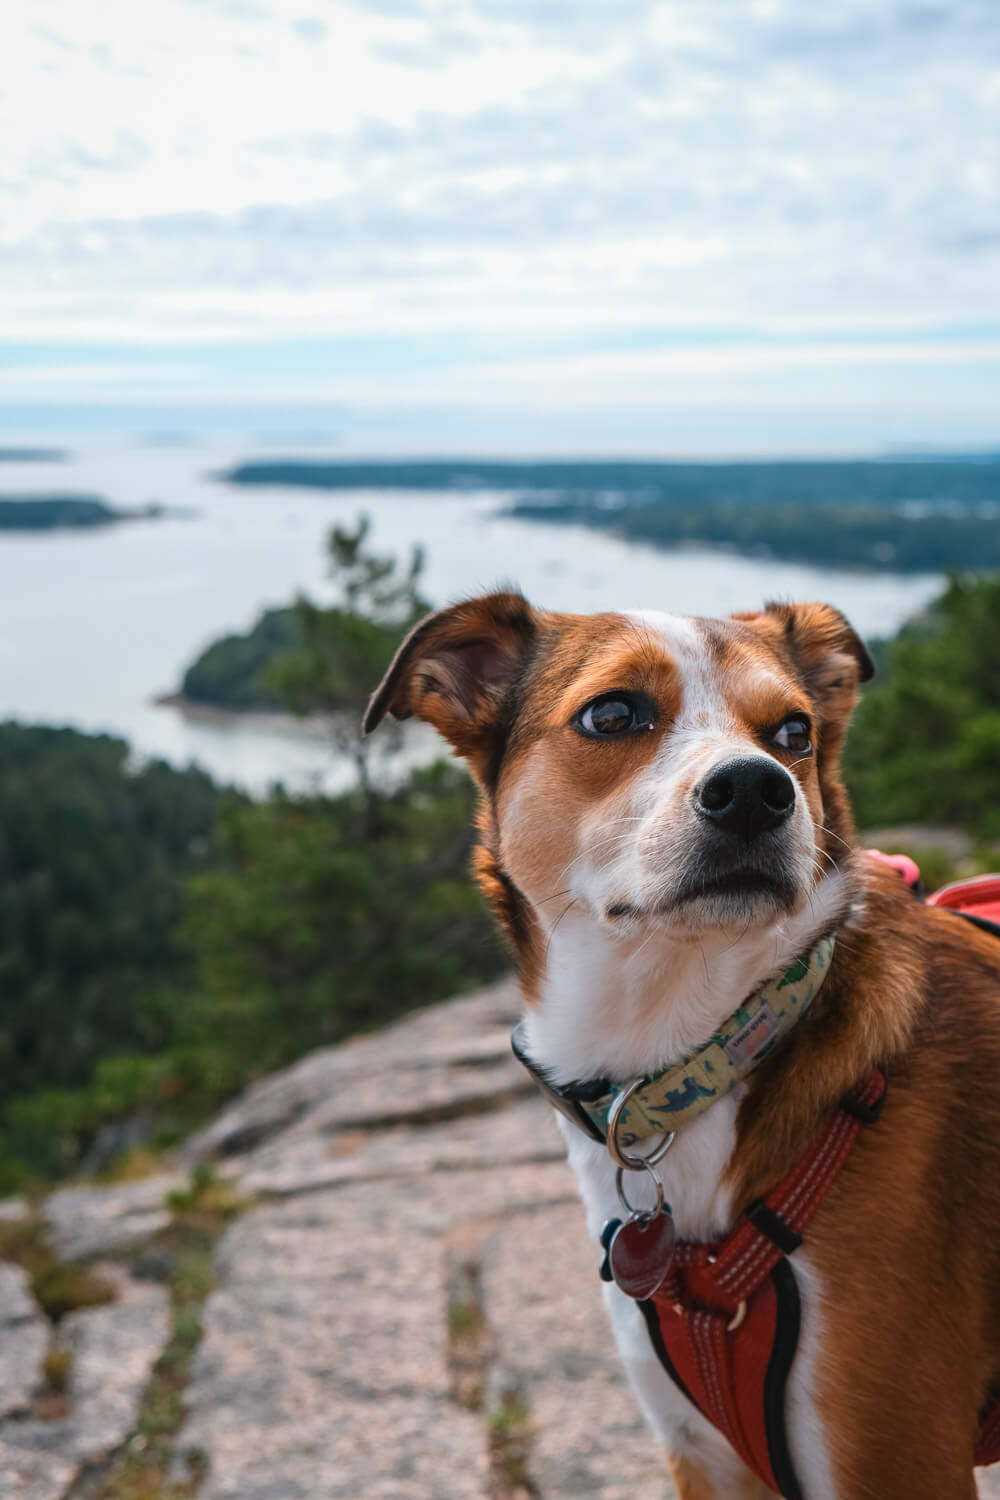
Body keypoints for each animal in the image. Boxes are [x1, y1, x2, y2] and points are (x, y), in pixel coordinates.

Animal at [365, 591, 1000, 1500]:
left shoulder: (893, 1462)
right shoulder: (704, 1456)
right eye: (613, 713)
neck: (690, 1055)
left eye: (795, 732)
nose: (756, 790)